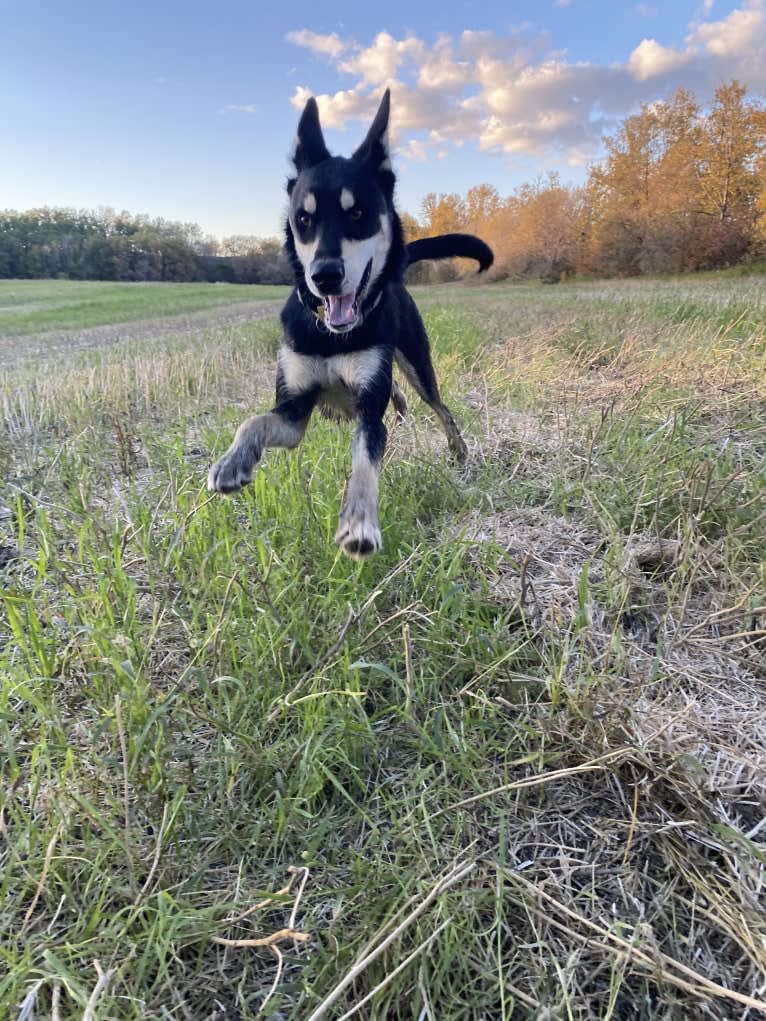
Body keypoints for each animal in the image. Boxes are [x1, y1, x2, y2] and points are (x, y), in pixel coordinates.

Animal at [207, 89, 494, 559]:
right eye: (303, 219)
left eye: (358, 213)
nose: (324, 276)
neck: (331, 336)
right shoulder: (293, 411)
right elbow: (254, 421)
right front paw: (234, 461)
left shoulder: (368, 411)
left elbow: (365, 462)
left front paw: (360, 521)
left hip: (417, 360)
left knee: (440, 406)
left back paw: (459, 449)